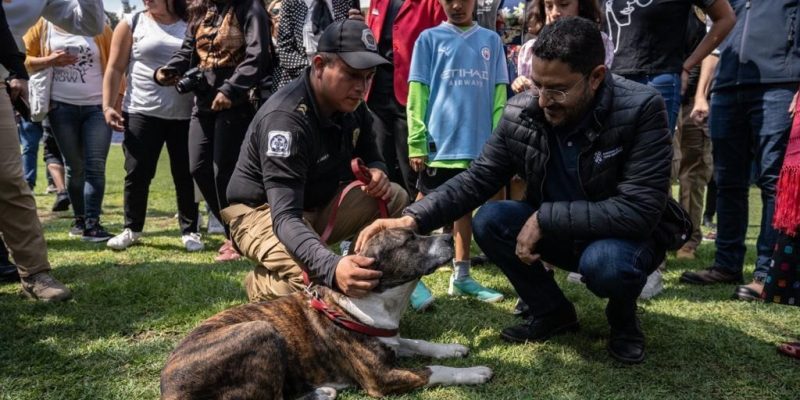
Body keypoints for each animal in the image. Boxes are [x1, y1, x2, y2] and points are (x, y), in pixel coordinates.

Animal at [159, 228, 490, 400]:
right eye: (409, 240)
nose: (448, 237)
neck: (375, 299)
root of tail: (169, 388)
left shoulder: (391, 340)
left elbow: (418, 343)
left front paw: (452, 348)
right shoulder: (381, 378)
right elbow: (434, 371)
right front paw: (474, 372)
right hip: (260, 331)